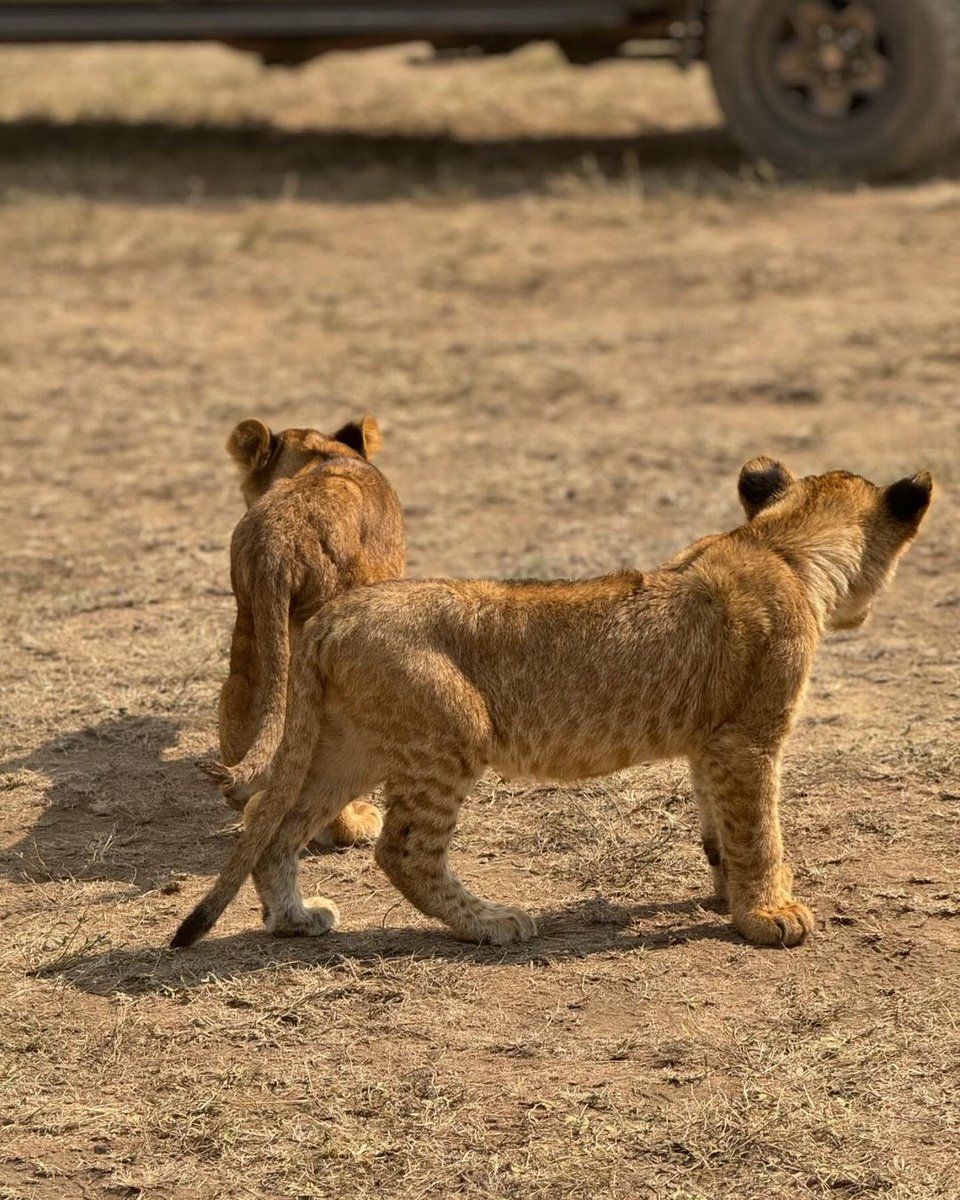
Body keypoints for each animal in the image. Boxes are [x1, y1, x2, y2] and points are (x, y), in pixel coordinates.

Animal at [173, 458, 932, 951]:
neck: (779, 543)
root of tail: (332, 618)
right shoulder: (749, 738)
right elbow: (759, 832)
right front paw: (769, 915)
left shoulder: (711, 743)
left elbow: (720, 828)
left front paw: (726, 896)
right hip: (450, 730)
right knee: (403, 850)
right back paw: (493, 923)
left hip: (349, 745)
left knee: (277, 826)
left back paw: (295, 919)